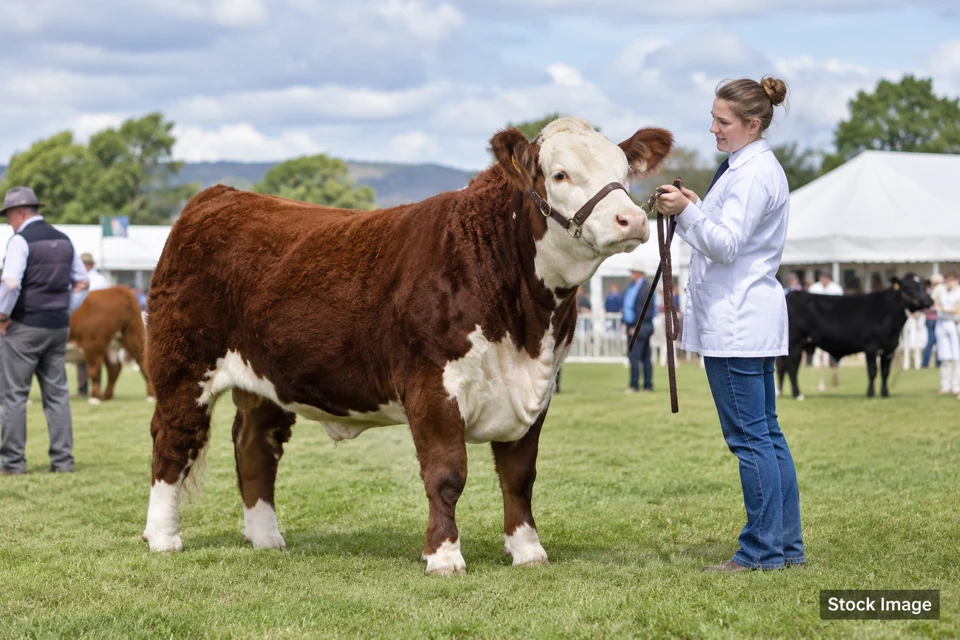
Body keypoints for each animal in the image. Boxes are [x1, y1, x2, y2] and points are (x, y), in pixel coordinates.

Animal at [142, 117, 674, 574]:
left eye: (623, 171)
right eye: (560, 173)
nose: (630, 219)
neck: (523, 322)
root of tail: (219, 197)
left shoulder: (536, 390)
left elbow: (519, 476)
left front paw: (528, 551)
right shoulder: (432, 385)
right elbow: (446, 474)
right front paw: (444, 556)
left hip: (266, 379)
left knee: (256, 446)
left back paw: (265, 537)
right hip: (182, 365)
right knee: (173, 442)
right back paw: (163, 537)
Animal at [776, 274, 933, 399]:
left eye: (922, 285)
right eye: (908, 286)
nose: (930, 301)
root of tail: (791, 295)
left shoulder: (890, 348)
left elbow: (885, 372)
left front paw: (885, 393)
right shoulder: (871, 346)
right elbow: (872, 371)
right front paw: (870, 394)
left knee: (783, 366)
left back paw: (781, 392)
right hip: (795, 343)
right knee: (790, 367)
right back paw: (797, 394)